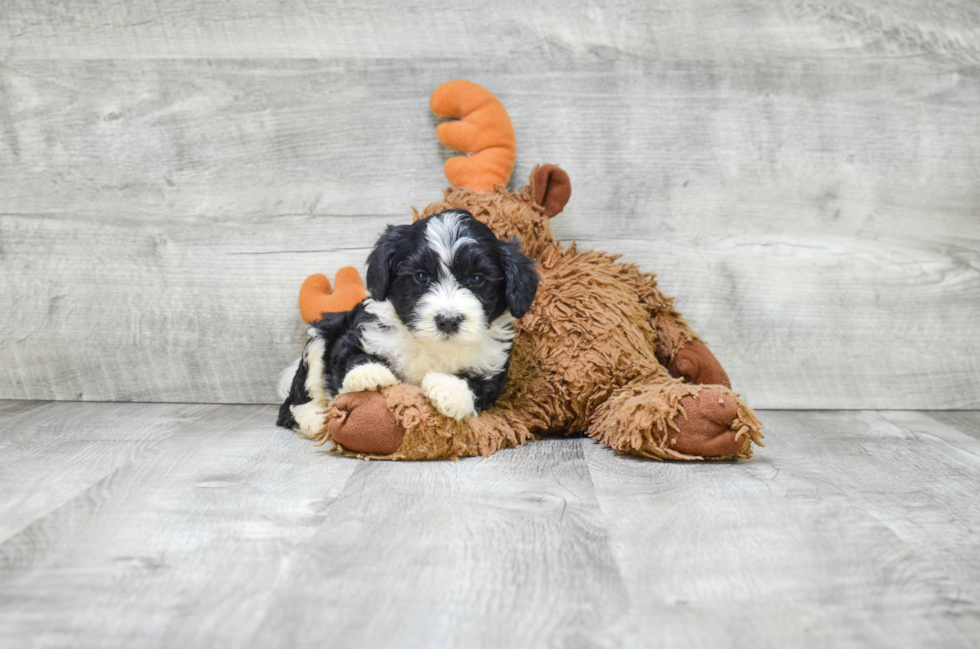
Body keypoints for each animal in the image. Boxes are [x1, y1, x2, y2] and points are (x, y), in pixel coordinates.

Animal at [276, 211, 540, 436]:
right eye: (421, 276)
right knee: (294, 401)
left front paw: (450, 389)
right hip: (322, 333)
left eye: (477, 279)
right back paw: (314, 418)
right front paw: (368, 373)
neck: (430, 343)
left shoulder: (493, 362)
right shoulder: (360, 331)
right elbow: (349, 354)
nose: (448, 321)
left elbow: (480, 384)